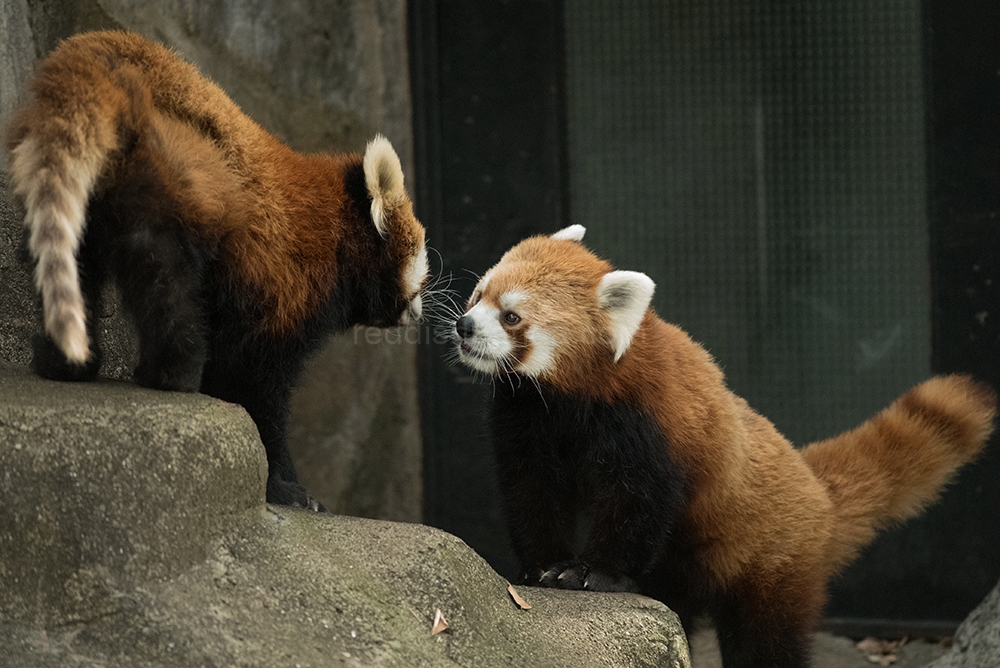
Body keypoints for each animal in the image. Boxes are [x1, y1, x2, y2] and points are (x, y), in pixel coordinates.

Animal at [6, 30, 430, 512]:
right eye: (420, 274)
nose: (420, 313)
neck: (336, 234)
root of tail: (99, 51)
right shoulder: (281, 283)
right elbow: (256, 385)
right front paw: (286, 486)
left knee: (73, 267)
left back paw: (64, 362)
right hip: (168, 178)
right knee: (164, 276)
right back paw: (170, 373)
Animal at [456, 224, 1000, 668]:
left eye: (511, 316)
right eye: (478, 295)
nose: (464, 326)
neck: (566, 399)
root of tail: (817, 490)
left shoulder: (648, 428)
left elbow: (637, 502)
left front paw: (595, 574)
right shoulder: (525, 419)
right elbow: (532, 490)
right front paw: (542, 567)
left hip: (771, 563)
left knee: (764, 644)